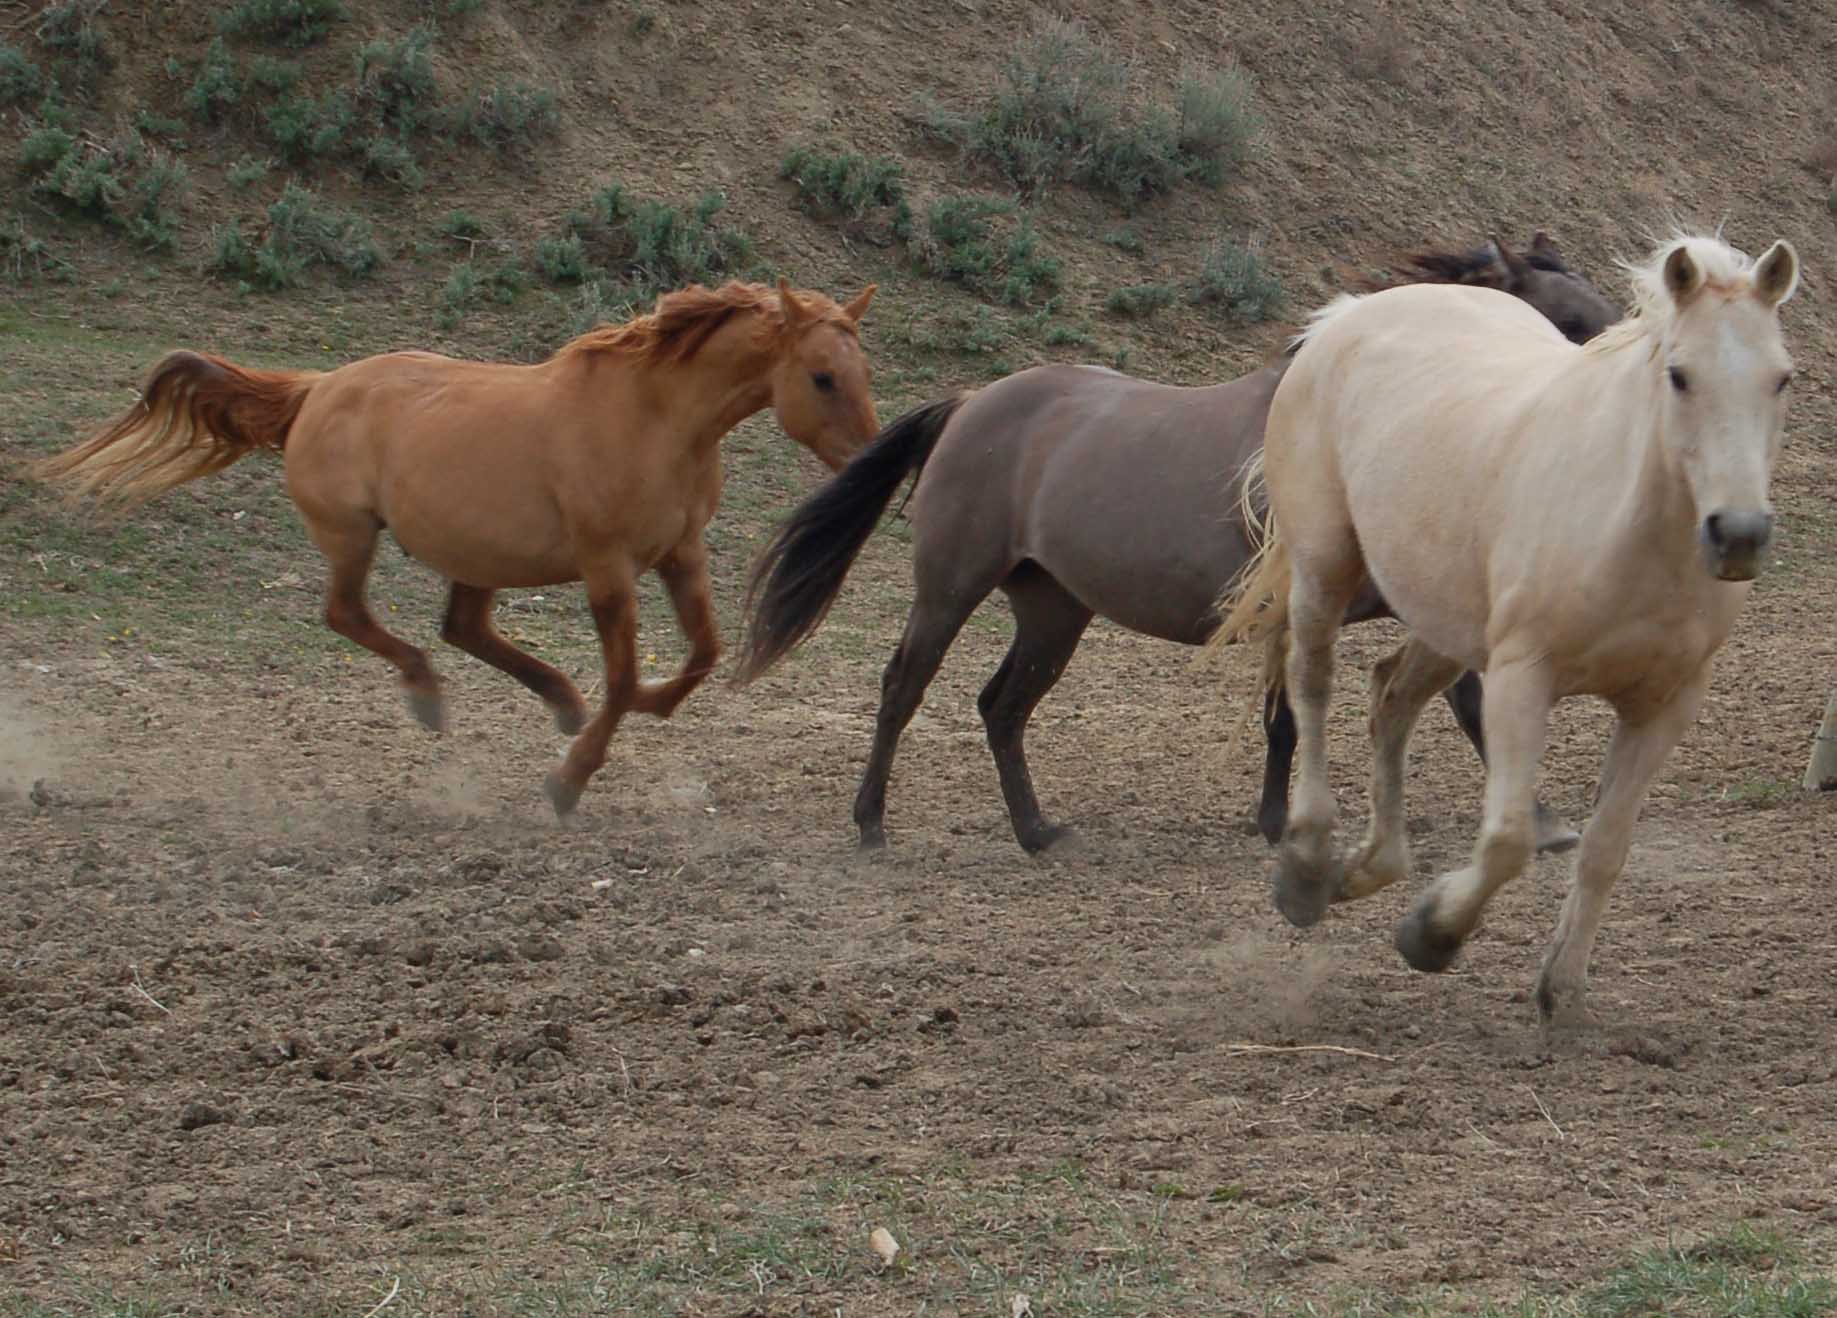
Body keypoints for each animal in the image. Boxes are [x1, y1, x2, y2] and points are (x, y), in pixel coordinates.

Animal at [35, 277, 881, 816]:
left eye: (863, 372)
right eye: (821, 377)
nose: (873, 458)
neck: (654, 418)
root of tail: (318, 389)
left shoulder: (682, 553)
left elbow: (701, 654)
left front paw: (643, 707)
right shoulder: (607, 566)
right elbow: (621, 677)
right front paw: (569, 782)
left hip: (479, 551)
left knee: (463, 627)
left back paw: (555, 701)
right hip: (351, 533)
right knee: (350, 616)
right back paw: (429, 698)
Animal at [733, 234, 1617, 854]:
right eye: (1567, 321)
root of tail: (971, 402)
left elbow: (1439, 705)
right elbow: (1308, 716)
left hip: (1052, 611)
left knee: (1001, 707)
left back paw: (1037, 832)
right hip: (950, 588)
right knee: (903, 688)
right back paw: (871, 823)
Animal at [1210, 232, 1798, 1023]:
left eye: (1781, 379)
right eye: (1679, 375)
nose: (1737, 535)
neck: (1631, 529)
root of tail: (1346, 317)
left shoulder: (1665, 705)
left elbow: (1606, 848)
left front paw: (1561, 990)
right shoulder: (1522, 679)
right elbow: (1509, 840)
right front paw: (1431, 935)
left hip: (1444, 617)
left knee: (1389, 696)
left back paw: (1368, 869)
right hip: (1323, 567)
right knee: (1313, 685)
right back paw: (1306, 868)